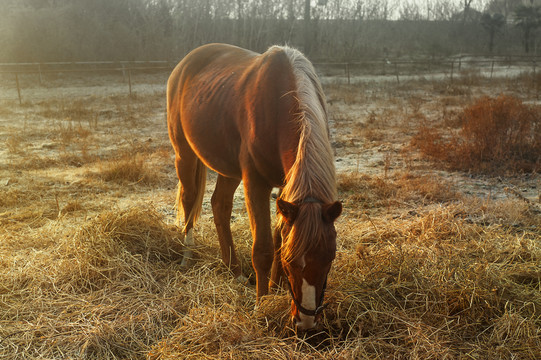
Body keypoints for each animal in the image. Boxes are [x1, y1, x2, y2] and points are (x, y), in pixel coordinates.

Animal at [167, 42, 340, 330]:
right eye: (292, 263)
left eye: (329, 258)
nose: (305, 322)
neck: (280, 104)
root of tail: (185, 63)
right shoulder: (255, 182)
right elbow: (263, 249)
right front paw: (262, 304)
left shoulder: (286, 186)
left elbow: (279, 237)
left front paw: (275, 288)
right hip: (185, 155)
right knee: (190, 201)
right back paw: (186, 257)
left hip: (228, 168)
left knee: (220, 206)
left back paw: (234, 271)